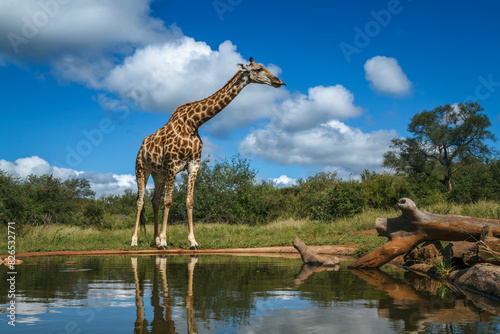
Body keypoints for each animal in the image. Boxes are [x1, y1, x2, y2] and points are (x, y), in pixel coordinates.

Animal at [130, 56, 286, 248]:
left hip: (159, 174)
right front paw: (166, 240)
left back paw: (155, 241)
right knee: (140, 201)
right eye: (257, 69)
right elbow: (169, 201)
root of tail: (141, 147)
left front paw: (192, 241)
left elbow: (189, 202)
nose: (279, 82)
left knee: (154, 200)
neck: (194, 123)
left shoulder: (193, 164)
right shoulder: (173, 164)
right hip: (141, 169)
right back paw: (136, 240)